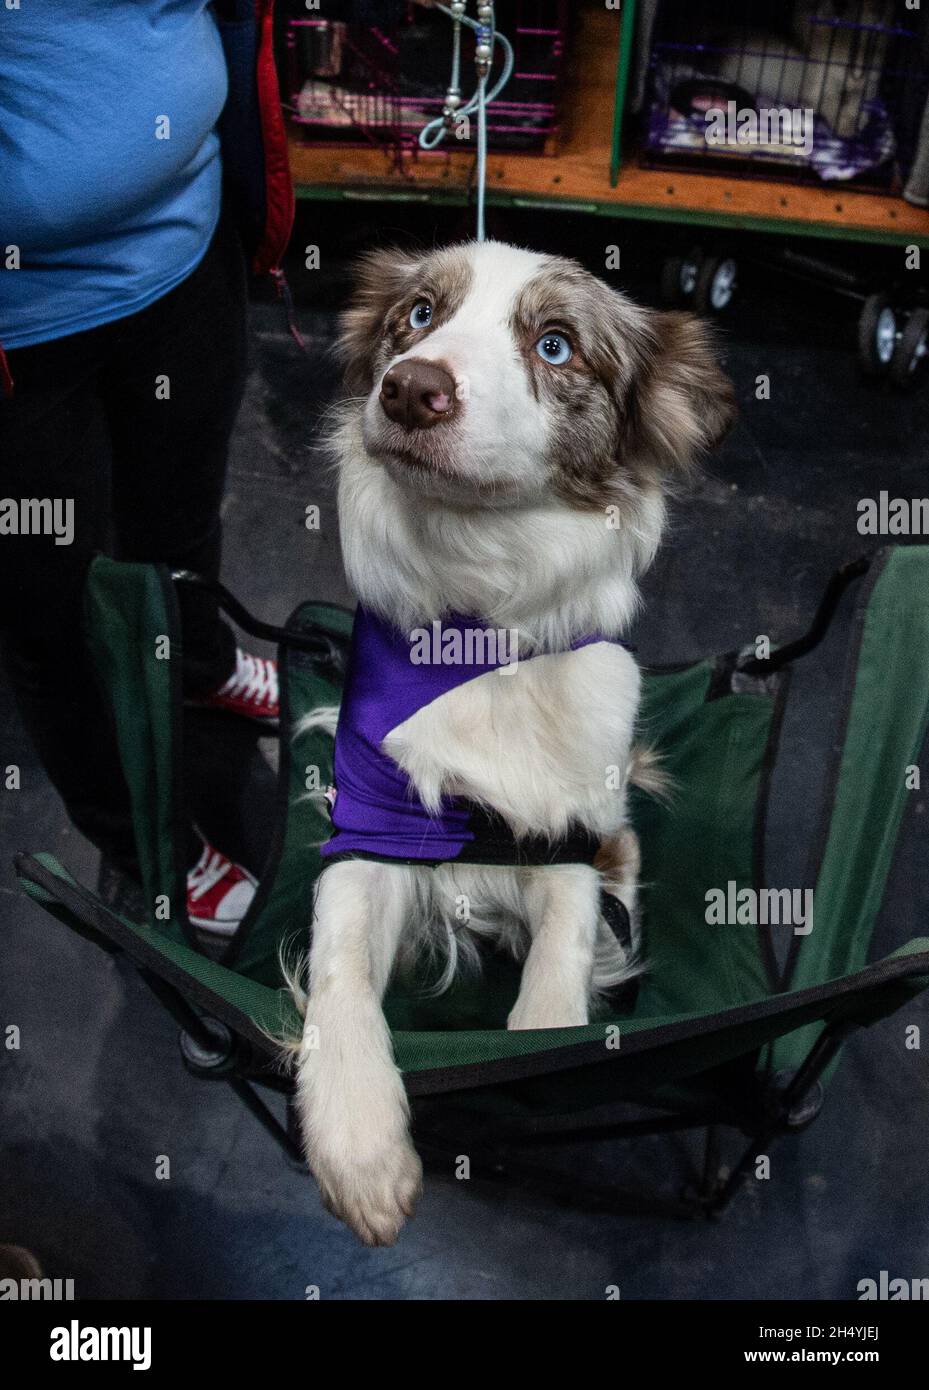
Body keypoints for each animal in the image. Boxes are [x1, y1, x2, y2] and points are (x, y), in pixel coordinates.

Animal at [290, 241, 734, 1251]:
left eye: (555, 344)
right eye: (418, 315)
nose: (411, 390)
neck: (477, 630)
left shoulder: (571, 837)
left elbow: (561, 962)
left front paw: (542, 1050)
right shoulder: (371, 827)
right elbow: (339, 955)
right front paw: (356, 1140)